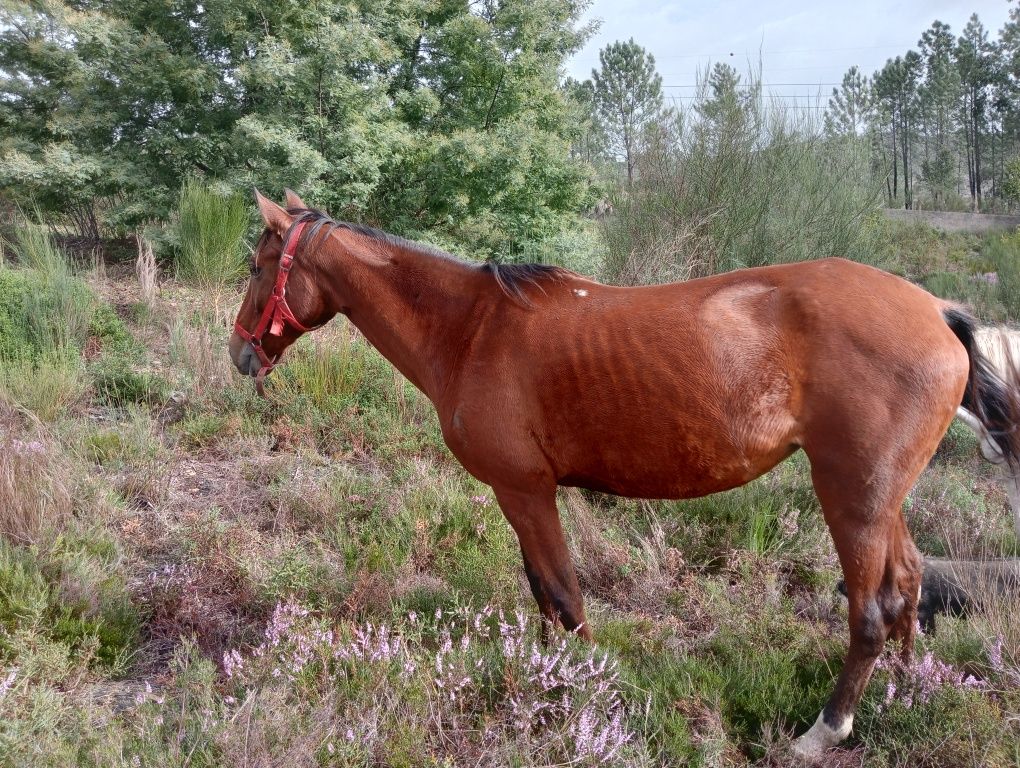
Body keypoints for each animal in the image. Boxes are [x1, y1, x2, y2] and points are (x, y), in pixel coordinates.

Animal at [231, 190, 1020, 754]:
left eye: (259, 265)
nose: (240, 353)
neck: (472, 330)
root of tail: (937, 311)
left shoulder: (524, 491)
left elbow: (564, 597)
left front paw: (584, 694)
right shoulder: (523, 495)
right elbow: (544, 599)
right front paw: (544, 682)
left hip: (852, 497)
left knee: (872, 610)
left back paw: (824, 731)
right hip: (884, 498)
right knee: (908, 586)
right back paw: (909, 692)